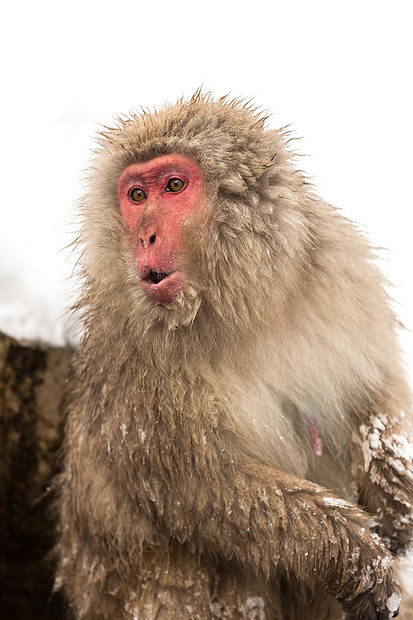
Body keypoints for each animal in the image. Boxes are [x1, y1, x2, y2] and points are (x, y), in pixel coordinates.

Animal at [54, 93, 412, 620]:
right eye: (136, 196)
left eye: (174, 186)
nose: (144, 236)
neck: (239, 307)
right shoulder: (135, 363)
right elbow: (205, 492)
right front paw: (354, 556)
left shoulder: (340, 271)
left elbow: (378, 385)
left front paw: (394, 488)